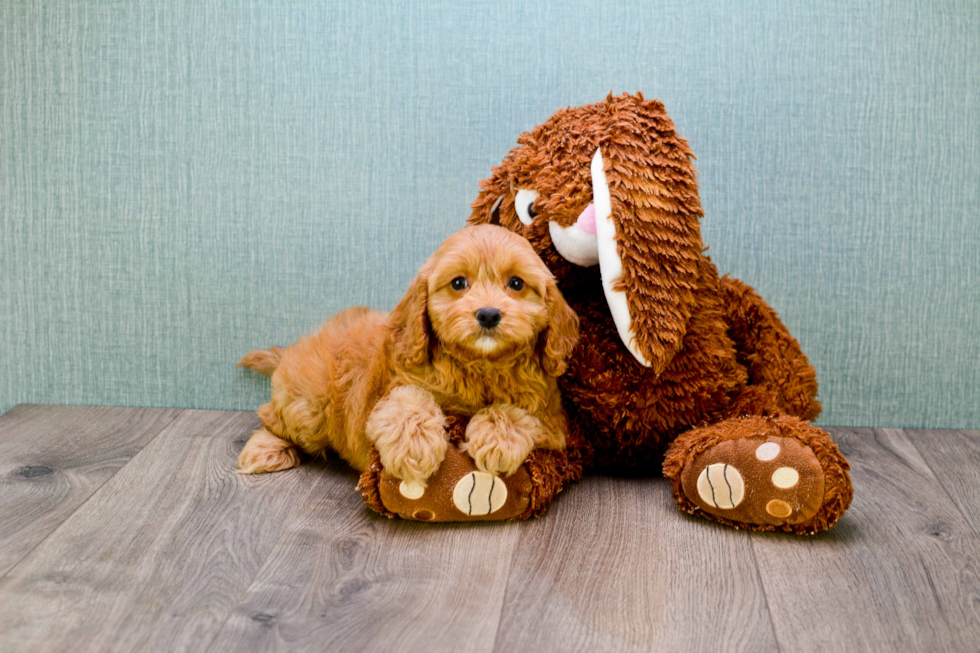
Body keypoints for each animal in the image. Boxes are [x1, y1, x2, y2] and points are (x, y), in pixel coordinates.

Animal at [234, 224, 580, 488]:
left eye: (517, 283)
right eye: (458, 283)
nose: (488, 314)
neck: (479, 365)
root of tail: (296, 348)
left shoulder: (550, 417)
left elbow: (515, 411)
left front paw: (497, 440)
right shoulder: (396, 385)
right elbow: (408, 402)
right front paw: (414, 446)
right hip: (310, 408)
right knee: (272, 416)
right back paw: (266, 448)